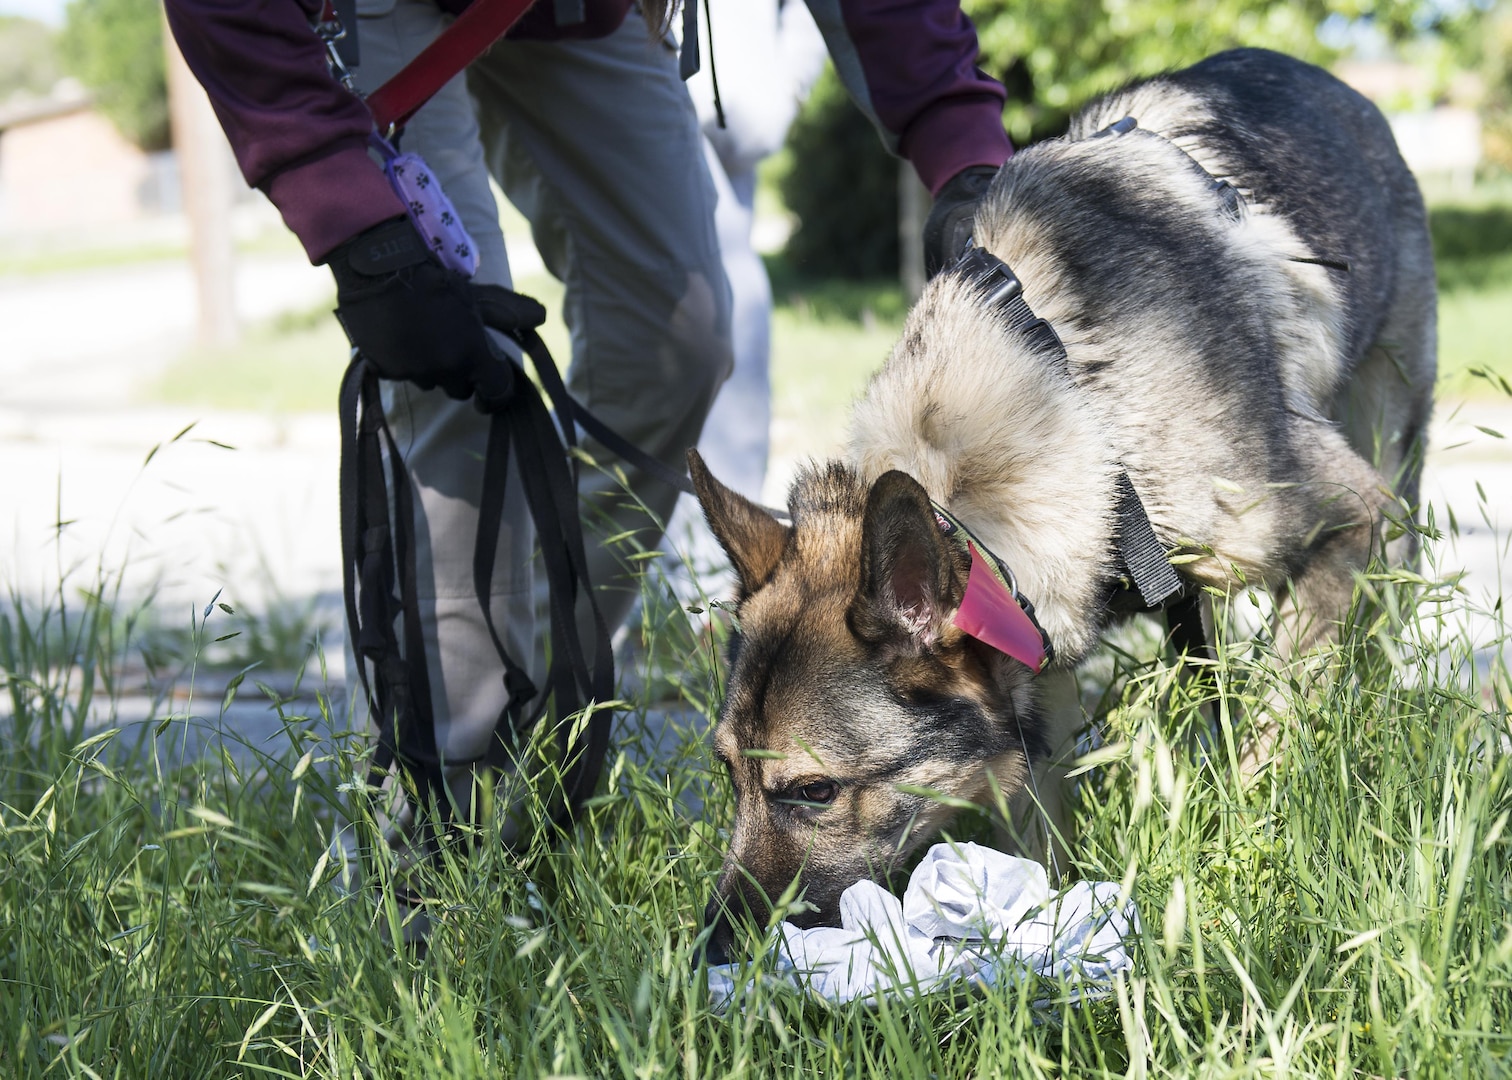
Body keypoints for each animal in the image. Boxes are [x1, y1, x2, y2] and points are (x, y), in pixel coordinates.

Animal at [692, 50, 1433, 962]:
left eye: (814, 790)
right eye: (727, 773)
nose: (709, 951)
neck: (1077, 402)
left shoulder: (1344, 517)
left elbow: (1275, 724)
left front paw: (1248, 847)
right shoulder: (1035, 675)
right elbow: (1038, 816)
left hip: (1392, 478)